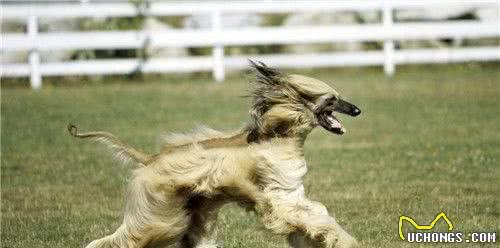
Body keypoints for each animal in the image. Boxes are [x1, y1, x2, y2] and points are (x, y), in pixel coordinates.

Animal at [68, 60, 362, 248]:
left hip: (191, 211)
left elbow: (316, 212)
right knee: (127, 238)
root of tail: (149, 159)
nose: (358, 110)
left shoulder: (292, 194)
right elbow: (313, 218)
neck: (280, 138)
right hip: (159, 216)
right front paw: (338, 240)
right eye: (332, 99)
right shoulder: (278, 196)